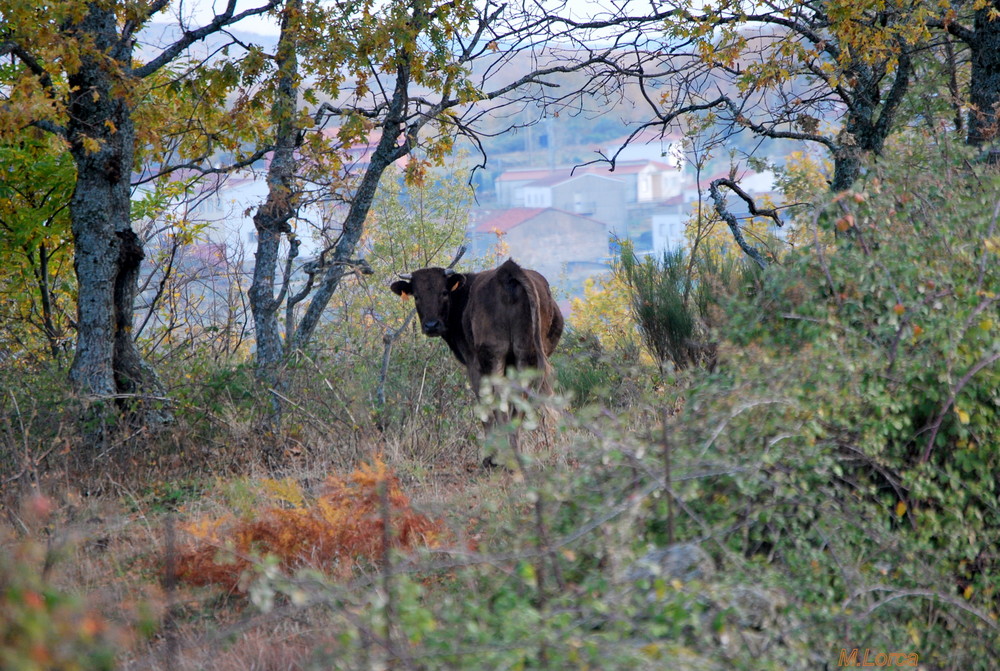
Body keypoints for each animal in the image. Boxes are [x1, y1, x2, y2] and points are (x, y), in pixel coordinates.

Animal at [390, 258, 564, 468]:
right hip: (527, 354)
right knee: (520, 397)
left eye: (444, 292)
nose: (431, 325)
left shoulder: (473, 364)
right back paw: (518, 454)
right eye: (416, 296)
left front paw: (490, 457)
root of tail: (508, 271)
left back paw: (502, 456)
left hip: (493, 355)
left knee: (496, 400)